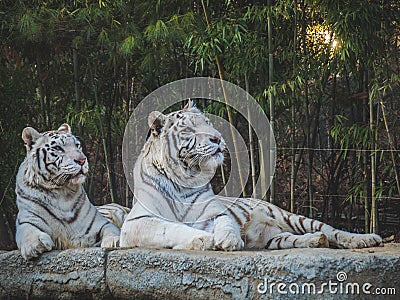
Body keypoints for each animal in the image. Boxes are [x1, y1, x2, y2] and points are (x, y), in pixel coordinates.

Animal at [14, 123, 120, 258]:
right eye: (58, 148)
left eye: (77, 145)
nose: (82, 160)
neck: (61, 192)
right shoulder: (26, 220)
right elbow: (28, 230)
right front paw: (35, 246)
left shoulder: (100, 223)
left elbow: (110, 229)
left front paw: (114, 240)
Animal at [120, 103, 382, 251]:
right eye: (189, 130)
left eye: (208, 122)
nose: (217, 137)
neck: (184, 177)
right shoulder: (138, 222)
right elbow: (172, 228)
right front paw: (205, 240)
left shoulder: (214, 212)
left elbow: (225, 222)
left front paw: (229, 240)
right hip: (275, 238)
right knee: (294, 239)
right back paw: (316, 241)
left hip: (292, 217)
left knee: (333, 230)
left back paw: (364, 239)